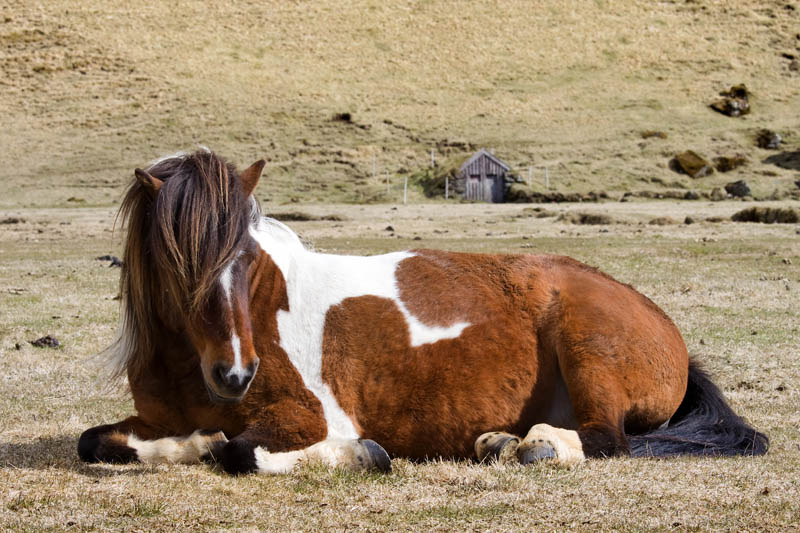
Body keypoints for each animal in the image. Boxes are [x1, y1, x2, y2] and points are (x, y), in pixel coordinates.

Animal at [78, 149, 768, 475]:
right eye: (177, 264)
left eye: (247, 256)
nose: (235, 375)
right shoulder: (153, 416)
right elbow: (97, 442)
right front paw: (192, 441)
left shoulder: (308, 417)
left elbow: (240, 452)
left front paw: (363, 455)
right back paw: (501, 441)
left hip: (588, 348)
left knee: (610, 441)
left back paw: (536, 448)